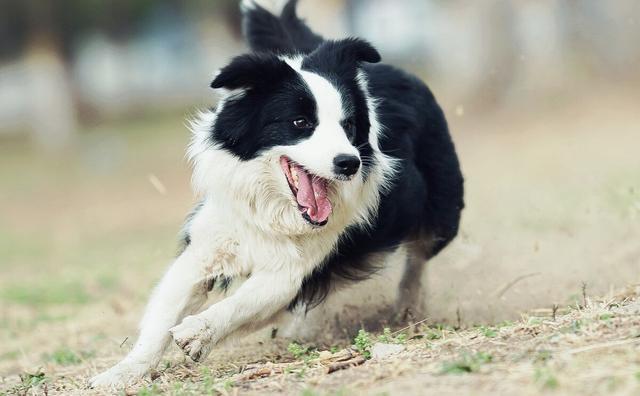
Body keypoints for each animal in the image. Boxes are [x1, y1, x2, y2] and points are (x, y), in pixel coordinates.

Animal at [90, 0, 462, 388]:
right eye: (300, 123)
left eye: (348, 126)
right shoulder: (208, 245)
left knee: (419, 255)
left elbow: (240, 303)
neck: (271, 208)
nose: (349, 163)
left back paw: (408, 305)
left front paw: (198, 331)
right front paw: (123, 372)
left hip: (443, 208)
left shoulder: (292, 270)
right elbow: (164, 313)